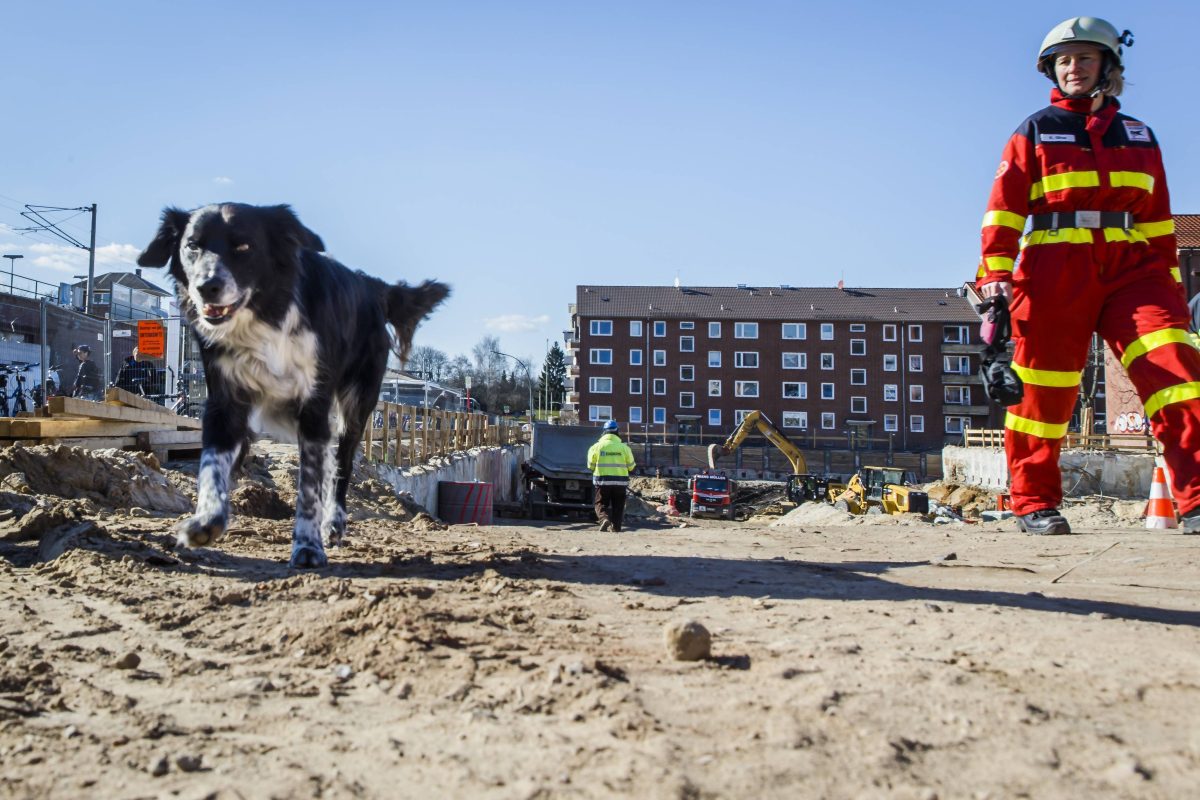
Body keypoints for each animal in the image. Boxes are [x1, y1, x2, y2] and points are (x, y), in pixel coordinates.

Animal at [132, 206, 451, 568]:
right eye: (192, 246)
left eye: (245, 246)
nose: (206, 286)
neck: (265, 319)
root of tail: (370, 286)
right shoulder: (224, 402)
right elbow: (212, 466)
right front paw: (207, 521)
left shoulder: (314, 408)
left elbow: (310, 487)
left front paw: (309, 546)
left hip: (356, 407)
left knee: (342, 466)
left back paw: (334, 523)